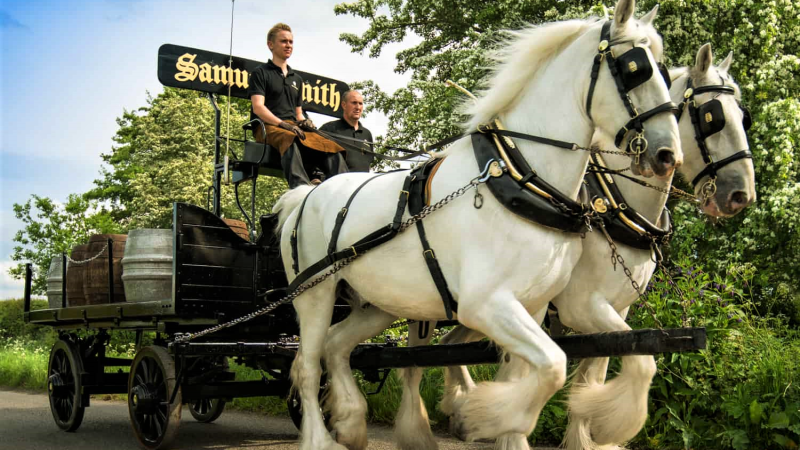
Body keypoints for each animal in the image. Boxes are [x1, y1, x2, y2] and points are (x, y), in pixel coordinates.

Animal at [276, 1, 680, 448]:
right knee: (308, 365)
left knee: (336, 347)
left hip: (379, 302)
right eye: (633, 67)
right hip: (315, 293)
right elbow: (553, 365)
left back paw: (350, 420)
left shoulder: (535, 307)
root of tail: (306, 195)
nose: (667, 155)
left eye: (665, 73)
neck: (521, 179)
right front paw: (484, 415)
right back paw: (320, 437)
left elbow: (540, 371)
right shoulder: (486, 304)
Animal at [406, 43, 756, 450]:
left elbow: (595, 376)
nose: (741, 194)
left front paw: (584, 430)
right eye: (712, 116)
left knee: (453, 344)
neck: (618, 203)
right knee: (414, 363)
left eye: (743, 117)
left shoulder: (614, 311)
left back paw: (464, 406)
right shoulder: (581, 307)